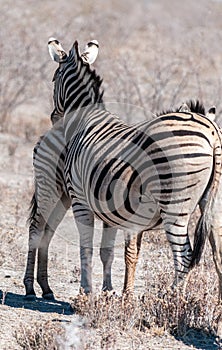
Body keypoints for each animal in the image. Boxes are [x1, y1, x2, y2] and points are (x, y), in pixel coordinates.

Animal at [45, 38, 222, 300]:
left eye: (54, 79)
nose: (54, 119)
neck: (86, 119)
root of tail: (212, 134)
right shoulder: (110, 208)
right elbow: (110, 252)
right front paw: (110, 293)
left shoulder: (79, 200)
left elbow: (86, 247)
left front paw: (86, 292)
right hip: (212, 205)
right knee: (217, 253)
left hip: (175, 207)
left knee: (184, 258)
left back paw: (172, 302)